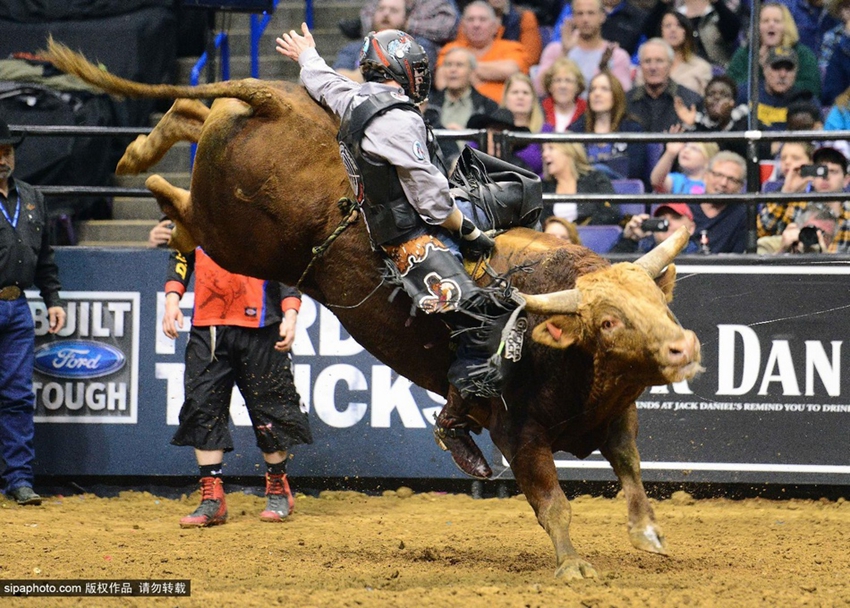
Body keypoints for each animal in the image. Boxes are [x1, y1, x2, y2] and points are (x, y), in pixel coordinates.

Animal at [43, 39, 700, 580]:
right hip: (233, 234)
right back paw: (143, 174)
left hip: (225, 174)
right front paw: (573, 568)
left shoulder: (615, 416)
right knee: (180, 201)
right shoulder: (519, 433)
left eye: (657, 303)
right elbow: (553, 503)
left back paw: (137, 152)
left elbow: (633, 474)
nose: (684, 347)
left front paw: (648, 536)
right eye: (608, 320)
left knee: (189, 113)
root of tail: (273, 100)